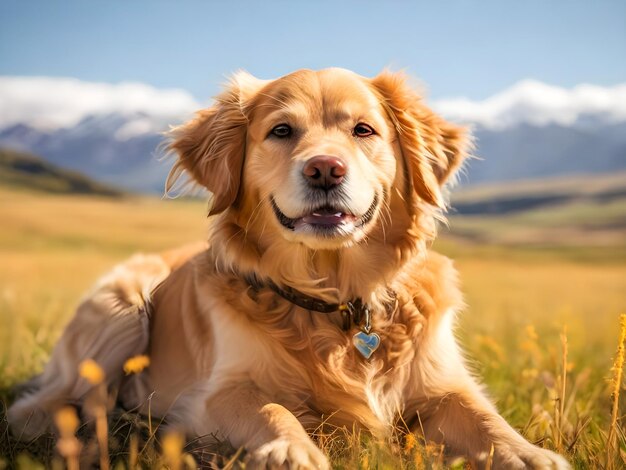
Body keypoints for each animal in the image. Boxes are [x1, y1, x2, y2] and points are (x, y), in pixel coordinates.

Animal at [8, 68, 564, 468]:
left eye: (364, 129)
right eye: (281, 131)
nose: (324, 169)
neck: (340, 301)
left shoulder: (444, 385)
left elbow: (487, 422)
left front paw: (530, 455)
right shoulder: (217, 394)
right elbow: (272, 410)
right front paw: (291, 450)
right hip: (123, 304)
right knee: (56, 400)